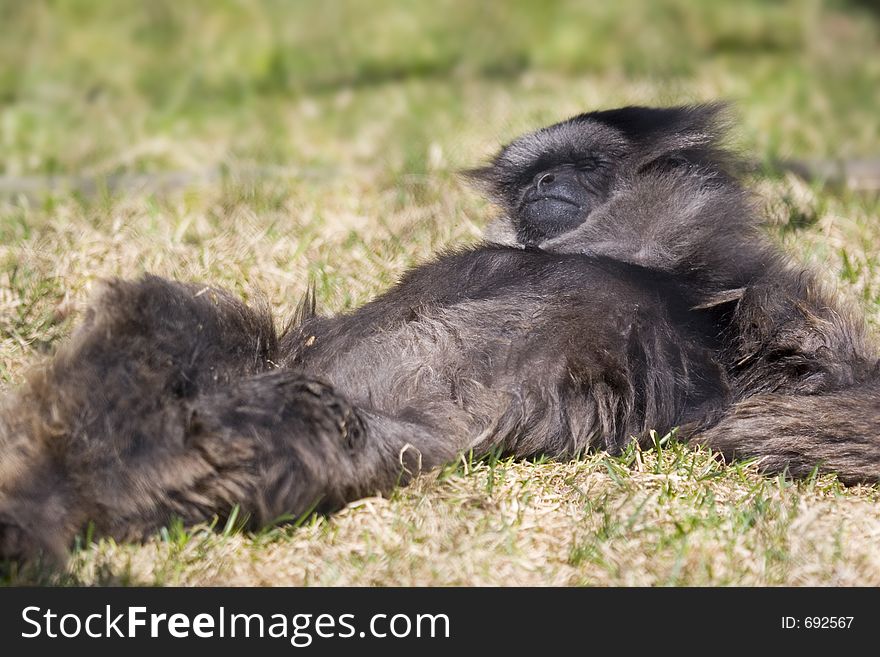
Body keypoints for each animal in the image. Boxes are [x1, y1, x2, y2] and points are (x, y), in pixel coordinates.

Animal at [1, 104, 880, 564]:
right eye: (530, 178)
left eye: (583, 166)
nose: (544, 183)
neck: (634, 266)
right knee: (189, 329)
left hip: (334, 438)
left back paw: (41, 510)